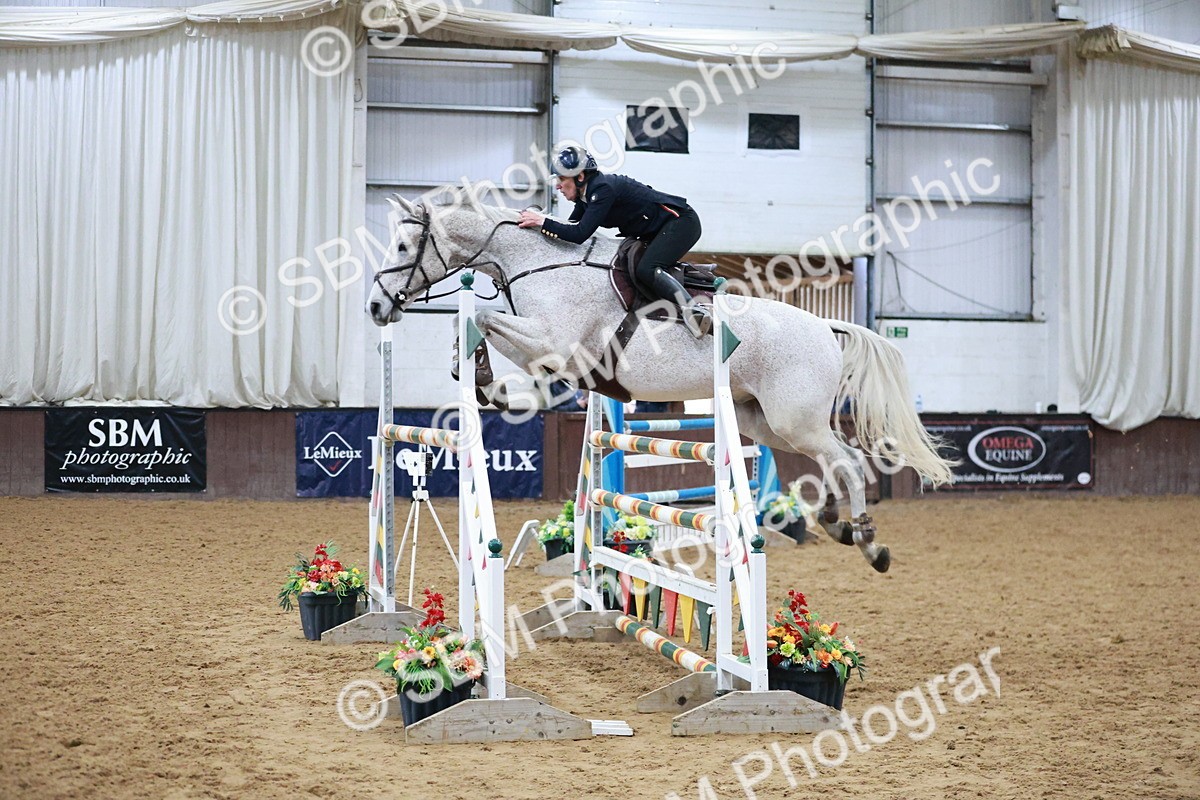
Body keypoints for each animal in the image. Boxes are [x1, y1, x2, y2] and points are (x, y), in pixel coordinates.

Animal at [366, 186, 954, 572]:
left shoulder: (555, 342)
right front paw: (480, 376)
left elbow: (485, 321)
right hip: (764, 422)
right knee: (831, 458)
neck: (541, 262)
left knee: (848, 461)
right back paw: (834, 521)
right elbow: (477, 325)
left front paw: (488, 380)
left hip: (795, 418)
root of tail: (826, 326)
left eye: (403, 248)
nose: (375, 306)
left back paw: (870, 542)